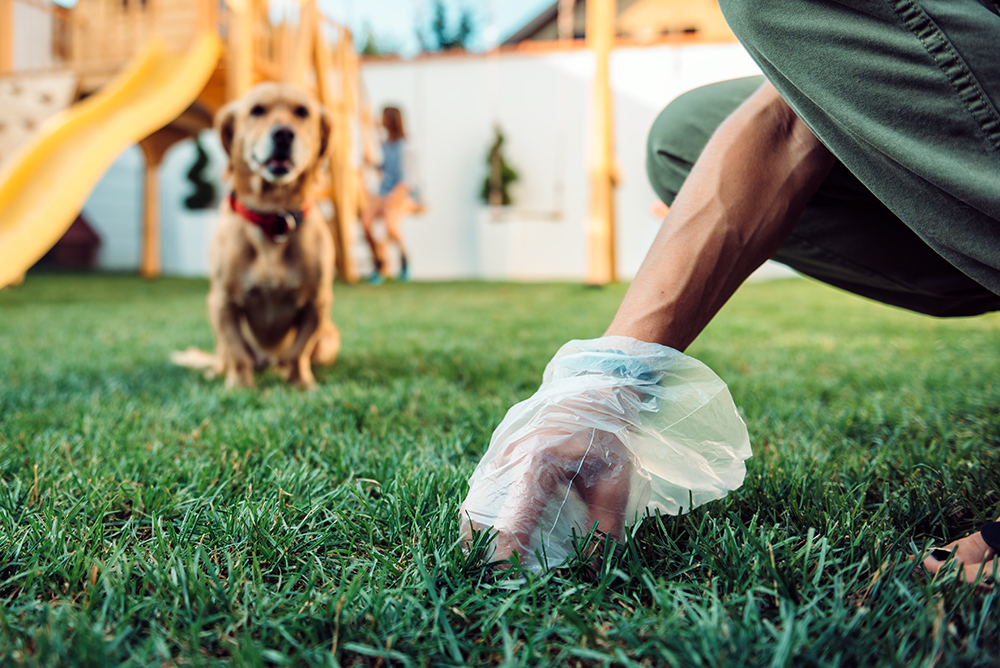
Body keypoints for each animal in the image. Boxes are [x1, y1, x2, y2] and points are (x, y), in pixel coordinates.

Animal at [172, 81, 340, 388]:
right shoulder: (222, 302)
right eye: (257, 110)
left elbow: (298, 351)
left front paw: (300, 383)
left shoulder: (317, 304)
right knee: (226, 356)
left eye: (302, 112)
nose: (283, 134)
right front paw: (239, 386)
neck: (273, 217)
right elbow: (238, 352)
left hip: (330, 338)